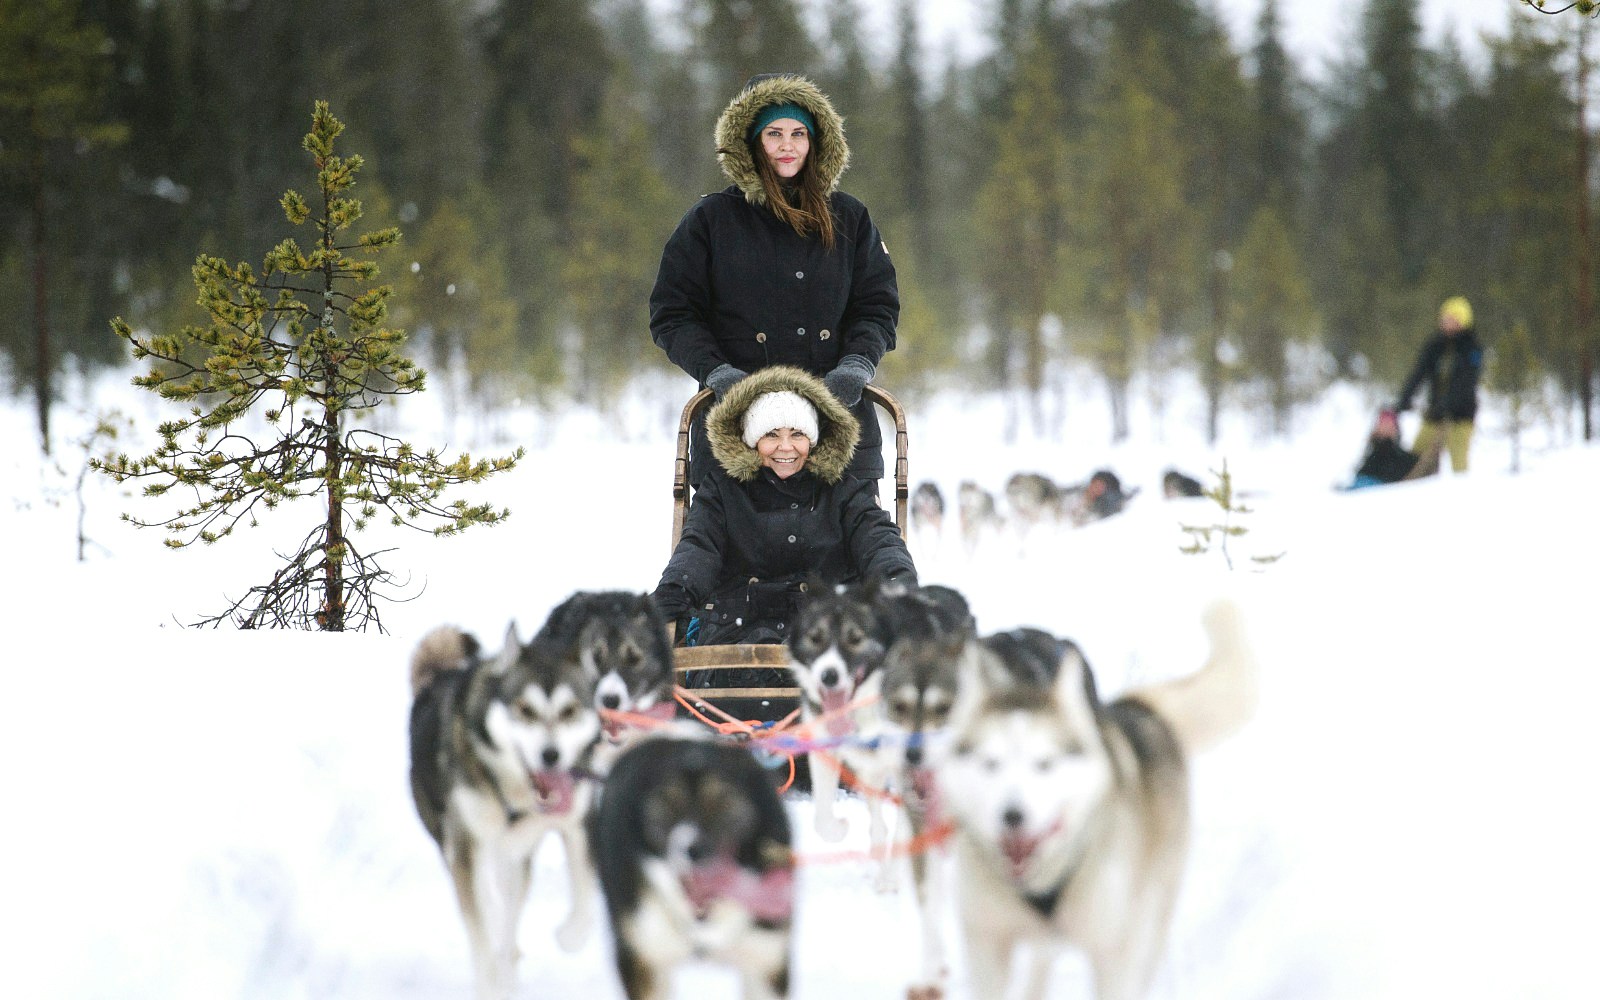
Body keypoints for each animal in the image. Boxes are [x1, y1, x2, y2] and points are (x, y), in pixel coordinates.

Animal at [409, 620, 608, 992]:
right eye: (525, 709)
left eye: (569, 710)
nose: (550, 755)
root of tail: (440, 677)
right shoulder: (465, 845)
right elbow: (480, 931)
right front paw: (490, 983)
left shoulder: (577, 822)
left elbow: (585, 901)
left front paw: (570, 936)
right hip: (455, 839)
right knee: (487, 901)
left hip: (512, 855)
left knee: (508, 911)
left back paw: (510, 957)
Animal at [934, 601, 1260, 998]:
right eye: (989, 763)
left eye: (1045, 764)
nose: (1013, 815)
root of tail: (1139, 708)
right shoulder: (987, 944)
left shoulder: (1113, 953)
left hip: (1150, 916)